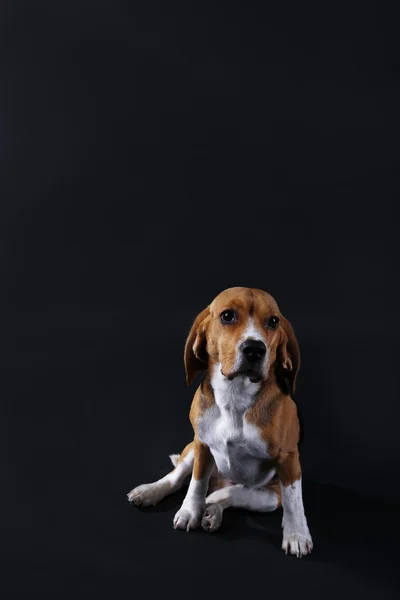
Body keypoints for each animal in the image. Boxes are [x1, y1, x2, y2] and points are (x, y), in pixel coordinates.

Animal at [128, 286, 312, 556]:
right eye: (227, 316)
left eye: (273, 321)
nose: (255, 349)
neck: (234, 395)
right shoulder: (202, 444)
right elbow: (195, 484)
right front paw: (189, 511)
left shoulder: (288, 459)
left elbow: (294, 501)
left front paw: (297, 534)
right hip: (191, 449)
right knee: (177, 478)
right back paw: (151, 492)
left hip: (268, 499)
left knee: (231, 493)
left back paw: (213, 509)